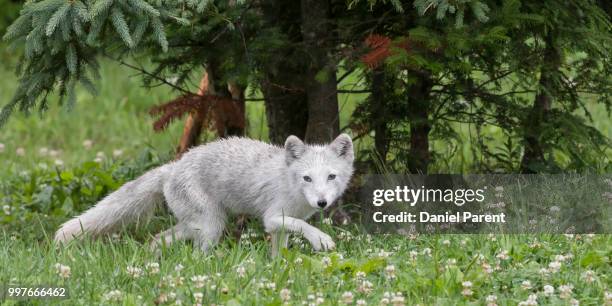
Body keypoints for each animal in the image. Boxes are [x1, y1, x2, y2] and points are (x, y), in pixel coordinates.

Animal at [56, 134, 356, 253]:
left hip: (199, 224)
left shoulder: (278, 227)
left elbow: (280, 252)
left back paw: (152, 260)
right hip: (212, 226)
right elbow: (304, 227)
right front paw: (321, 240)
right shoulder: (272, 218)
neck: (290, 185)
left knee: (157, 239)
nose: (322, 202)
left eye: (331, 177)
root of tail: (173, 167)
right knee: (196, 254)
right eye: (307, 178)